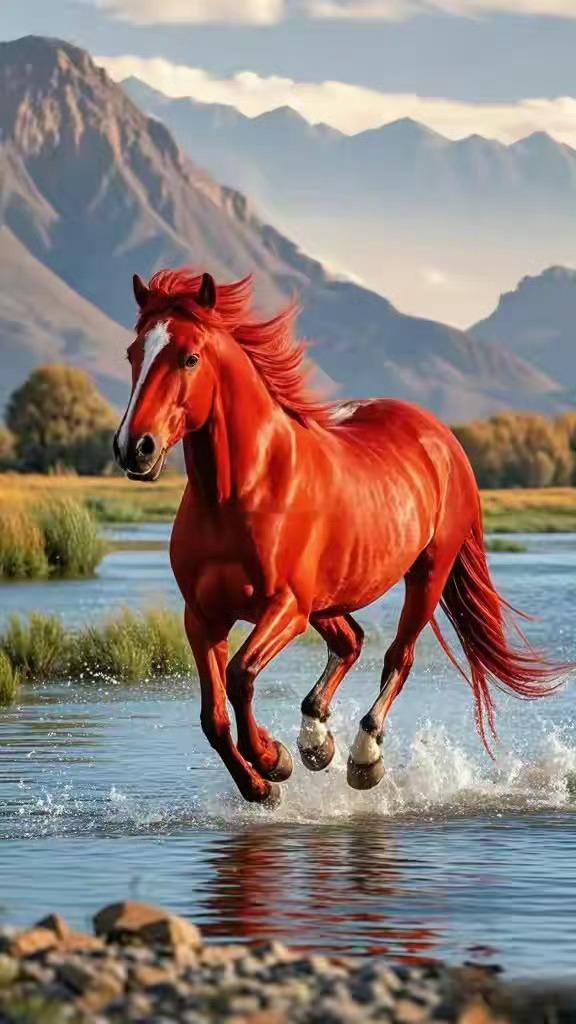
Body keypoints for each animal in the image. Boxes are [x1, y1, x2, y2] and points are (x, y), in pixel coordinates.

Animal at [113, 267, 563, 805]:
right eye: (133, 354)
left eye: (189, 358)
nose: (134, 449)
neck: (242, 491)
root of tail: (440, 436)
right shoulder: (203, 617)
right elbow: (214, 718)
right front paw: (263, 780)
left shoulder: (285, 608)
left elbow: (241, 676)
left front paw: (271, 758)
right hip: (327, 599)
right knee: (351, 641)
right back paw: (315, 742)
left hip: (425, 575)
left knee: (398, 656)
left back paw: (362, 757)